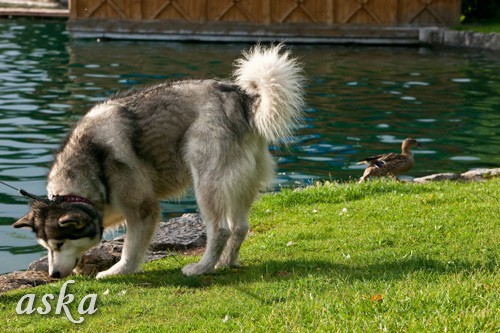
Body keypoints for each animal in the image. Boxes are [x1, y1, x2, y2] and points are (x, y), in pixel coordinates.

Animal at [12, 43, 304, 278]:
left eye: (59, 244)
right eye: (47, 247)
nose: (53, 275)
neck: (91, 166)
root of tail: (243, 98)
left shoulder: (143, 208)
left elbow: (130, 249)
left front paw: (118, 271)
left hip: (206, 180)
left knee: (221, 229)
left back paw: (202, 268)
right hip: (241, 184)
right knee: (240, 227)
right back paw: (226, 263)